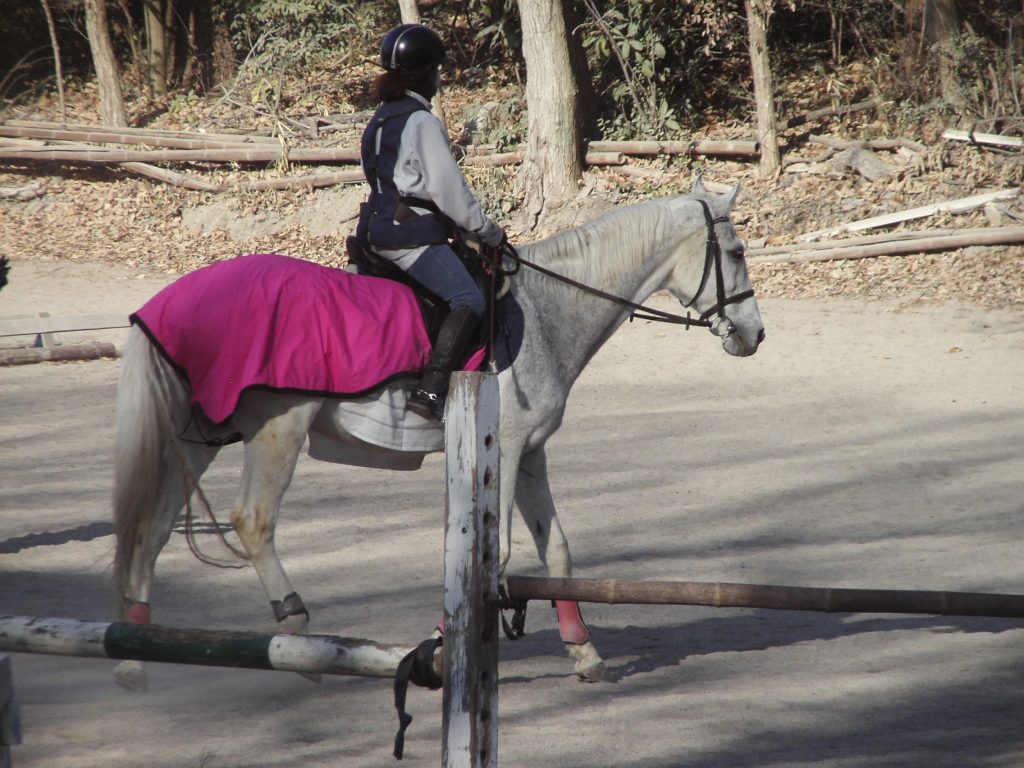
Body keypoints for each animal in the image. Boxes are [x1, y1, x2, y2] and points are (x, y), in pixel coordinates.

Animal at [111, 178, 764, 690]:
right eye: (734, 251)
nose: (755, 335)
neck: (547, 310)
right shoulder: (505, 450)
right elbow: (499, 554)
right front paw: (446, 641)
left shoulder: (531, 453)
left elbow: (556, 550)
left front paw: (584, 652)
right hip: (278, 430)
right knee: (252, 520)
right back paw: (295, 631)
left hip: (195, 439)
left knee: (153, 529)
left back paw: (134, 656)